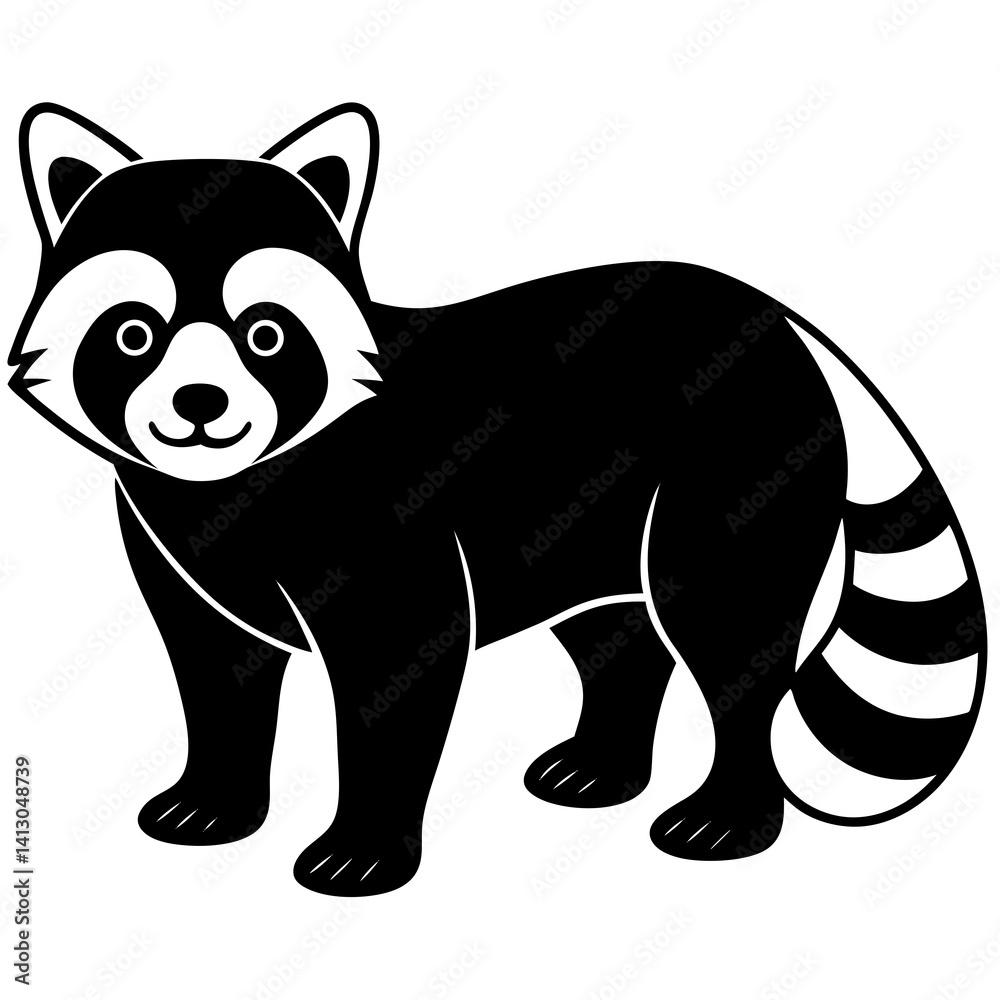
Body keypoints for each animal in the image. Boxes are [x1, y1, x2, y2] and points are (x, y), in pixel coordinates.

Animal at [9, 102, 986, 895]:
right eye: (134, 334)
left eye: (266, 335)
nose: (200, 404)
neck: (234, 487)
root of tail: (766, 308)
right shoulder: (182, 557)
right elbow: (216, 674)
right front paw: (216, 799)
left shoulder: (385, 532)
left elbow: (398, 676)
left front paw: (365, 847)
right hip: (586, 519)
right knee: (617, 638)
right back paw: (603, 765)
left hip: (733, 477)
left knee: (731, 638)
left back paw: (729, 814)